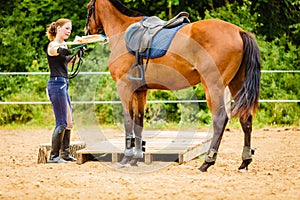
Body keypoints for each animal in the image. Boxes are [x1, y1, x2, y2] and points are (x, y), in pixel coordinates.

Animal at [84, 0, 260, 172]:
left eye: (88, 8)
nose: (86, 31)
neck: (123, 32)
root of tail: (239, 32)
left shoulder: (124, 88)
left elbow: (128, 122)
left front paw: (127, 158)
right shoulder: (140, 91)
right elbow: (138, 122)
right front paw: (136, 158)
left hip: (213, 86)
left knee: (220, 119)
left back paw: (207, 162)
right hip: (237, 85)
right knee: (246, 119)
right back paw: (245, 162)